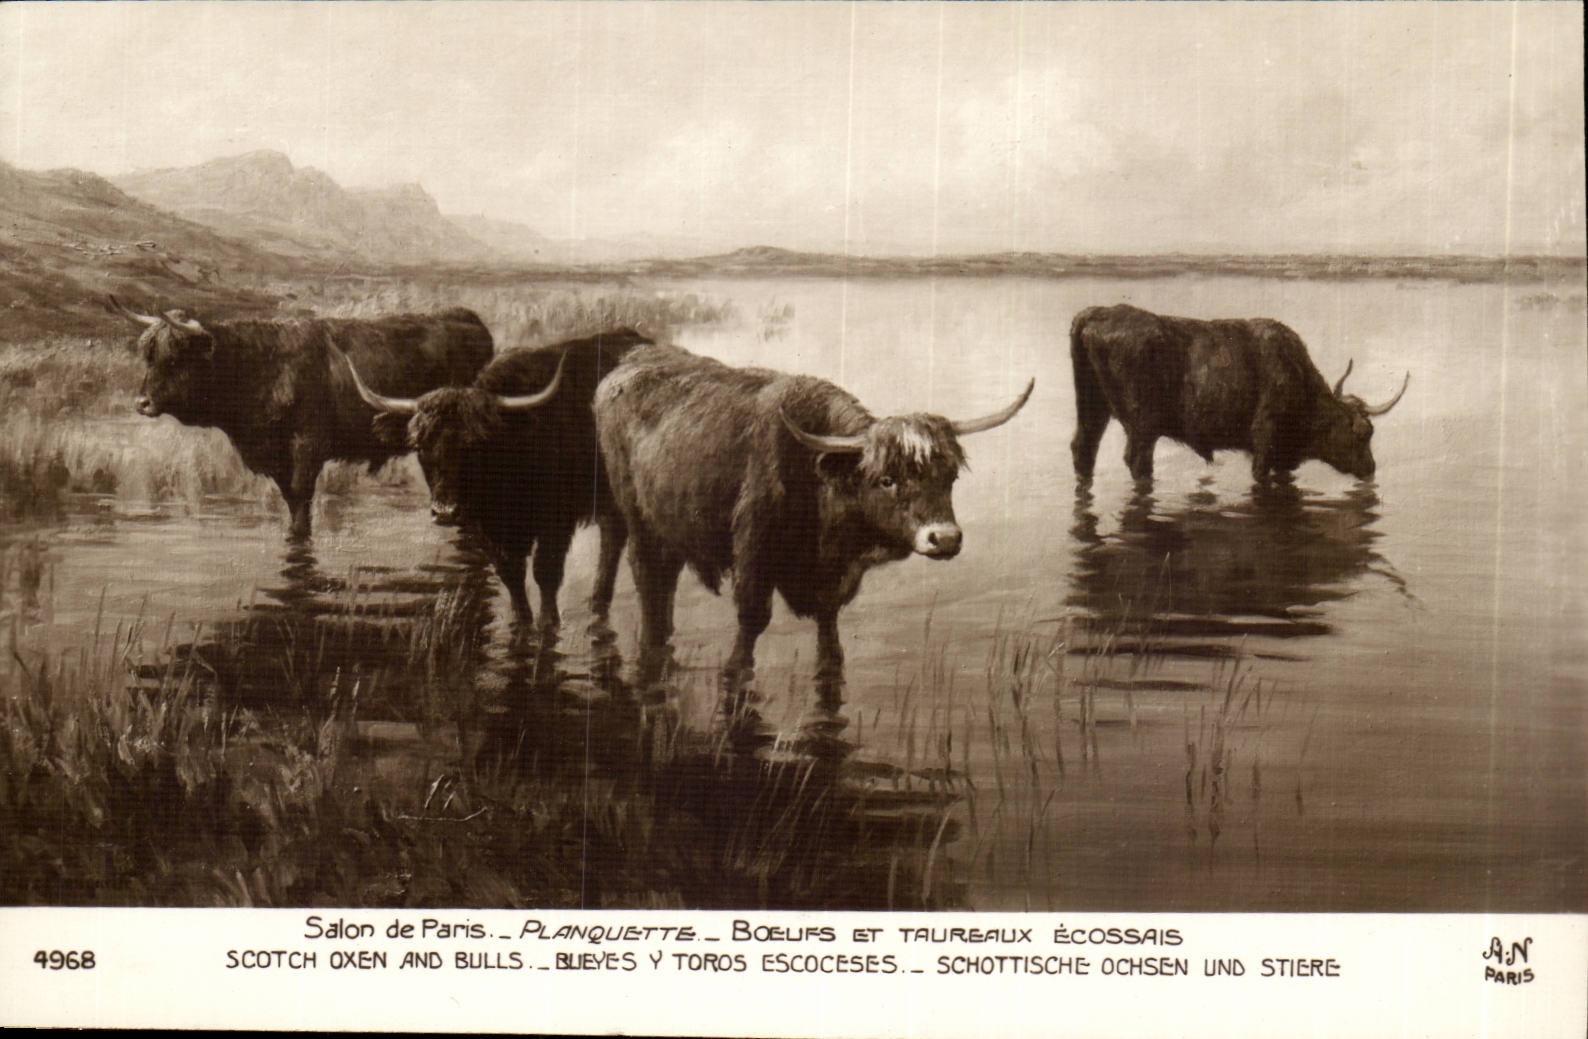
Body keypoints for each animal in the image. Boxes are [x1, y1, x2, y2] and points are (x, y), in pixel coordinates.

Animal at [110, 297, 494, 539]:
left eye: (174, 359)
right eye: (148, 356)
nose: (142, 402)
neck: (263, 367)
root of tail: (468, 318)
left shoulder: (307, 449)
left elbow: (300, 503)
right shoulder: (277, 457)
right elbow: (291, 502)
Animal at [341, 328, 652, 631]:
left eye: (476, 444)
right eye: (420, 446)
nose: (445, 511)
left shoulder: (556, 522)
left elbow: (545, 573)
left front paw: (549, 623)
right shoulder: (486, 529)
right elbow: (510, 574)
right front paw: (520, 620)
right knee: (612, 538)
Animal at [593, 342, 1034, 689]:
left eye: (950, 476)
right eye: (886, 479)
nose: (943, 538)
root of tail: (625, 366)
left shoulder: (832, 582)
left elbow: (830, 645)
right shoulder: (752, 559)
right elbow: (749, 630)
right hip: (637, 519)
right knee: (645, 576)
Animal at [1069, 303, 1409, 485]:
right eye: (1362, 433)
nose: (1370, 468)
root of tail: (1097, 313)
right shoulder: (1264, 443)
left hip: (1093, 410)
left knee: (1083, 448)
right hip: (1143, 427)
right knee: (1137, 462)